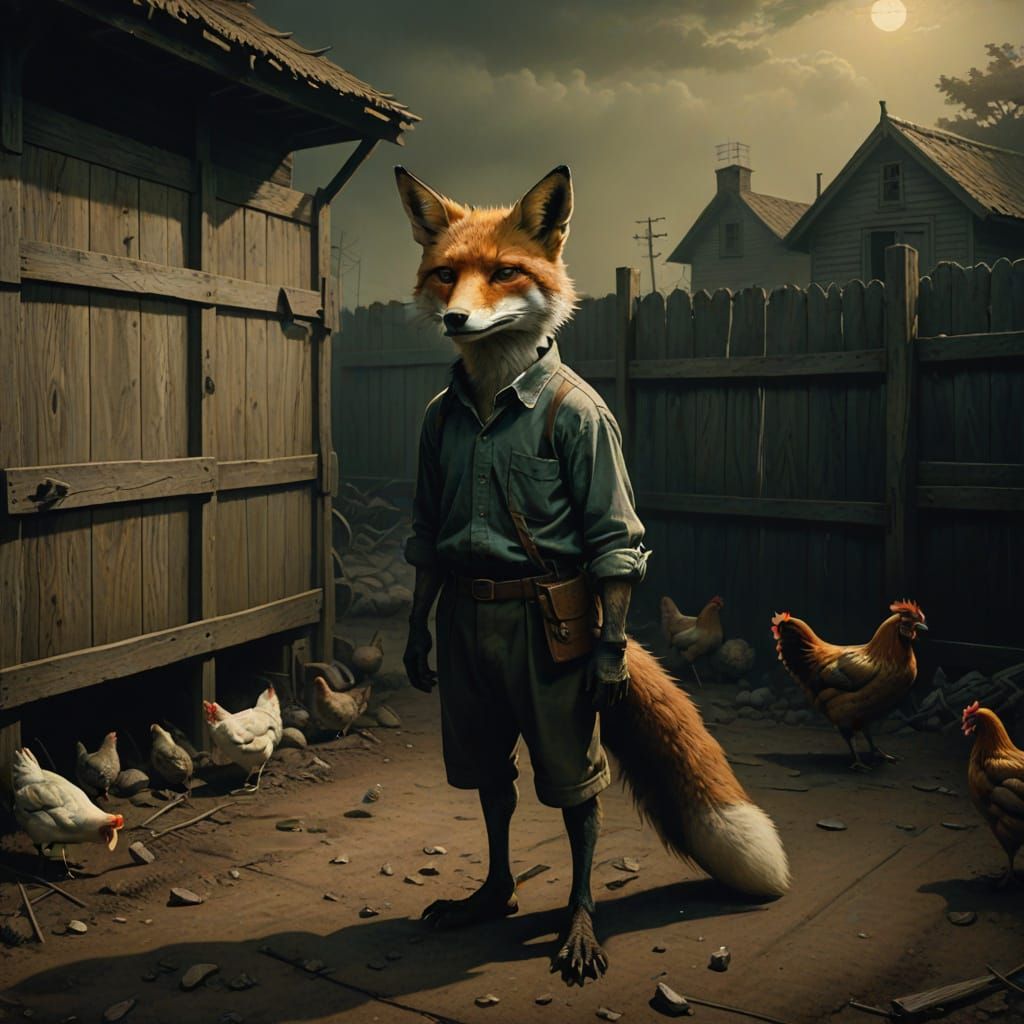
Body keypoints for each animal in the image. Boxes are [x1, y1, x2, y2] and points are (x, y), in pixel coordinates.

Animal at [397, 164, 790, 984]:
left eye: (505, 272)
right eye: (446, 274)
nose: (455, 319)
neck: (493, 398)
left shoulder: (595, 443)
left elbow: (616, 540)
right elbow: (427, 547)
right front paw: (414, 646)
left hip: (560, 710)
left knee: (581, 801)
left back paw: (578, 926)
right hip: (478, 699)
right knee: (495, 783)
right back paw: (494, 898)